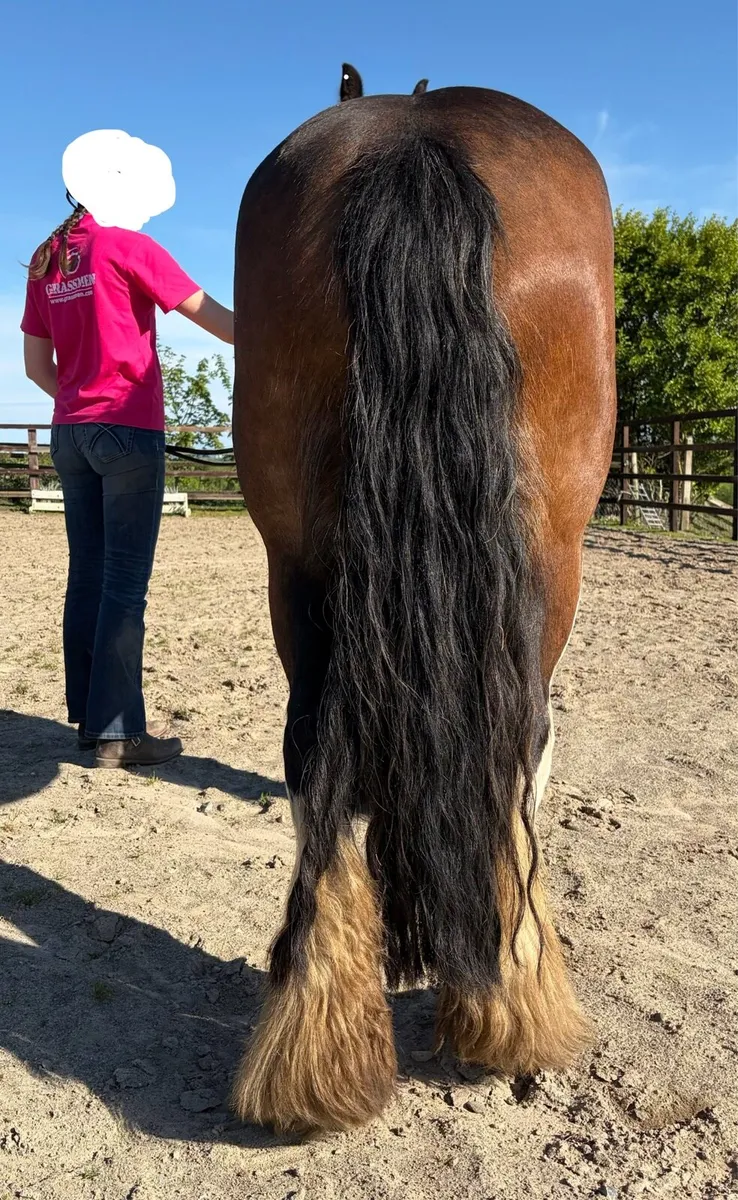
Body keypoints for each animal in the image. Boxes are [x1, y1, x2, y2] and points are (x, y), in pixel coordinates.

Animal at [231, 69, 616, 1133]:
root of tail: (415, 138)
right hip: (548, 569)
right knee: (517, 749)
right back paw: (507, 997)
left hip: (301, 567)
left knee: (317, 760)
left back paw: (322, 1039)